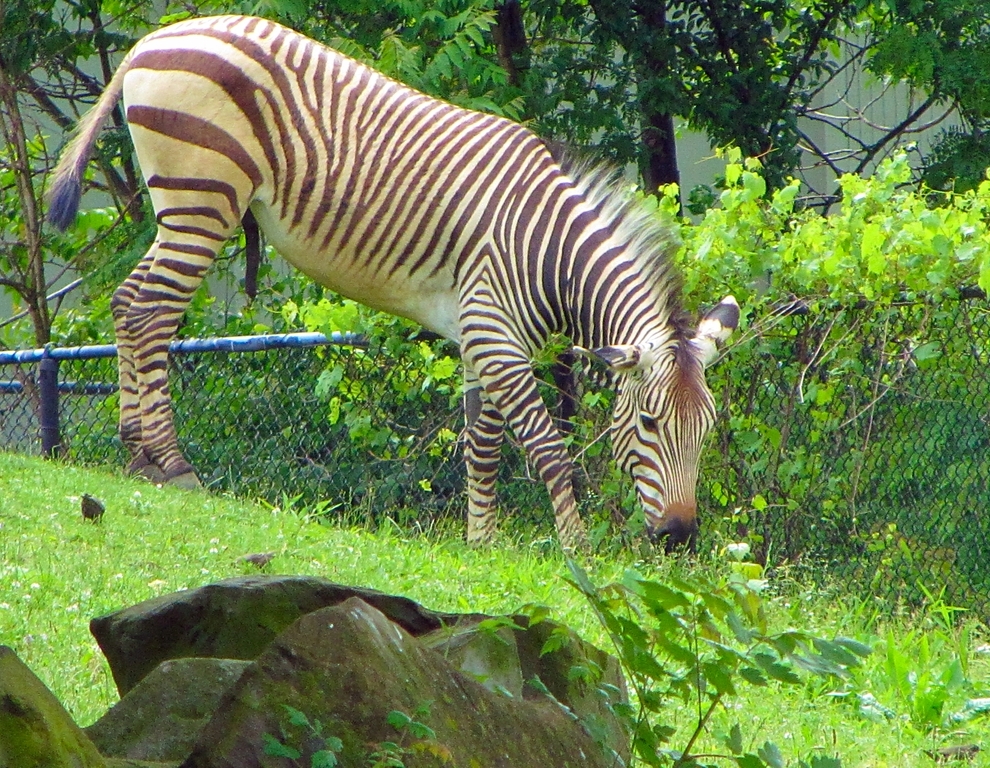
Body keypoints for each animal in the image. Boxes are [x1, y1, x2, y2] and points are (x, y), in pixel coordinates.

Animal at [48, 15, 738, 553]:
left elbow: (481, 446)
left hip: (184, 206)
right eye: (648, 423)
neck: (546, 252)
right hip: (204, 199)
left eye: (705, 429)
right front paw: (576, 551)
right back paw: (170, 464)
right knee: (151, 313)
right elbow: (547, 445)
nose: (679, 537)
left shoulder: (481, 338)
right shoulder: (495, 333)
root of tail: (151, 39)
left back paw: (137, 456)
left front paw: (480, 544)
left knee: (128, 303)